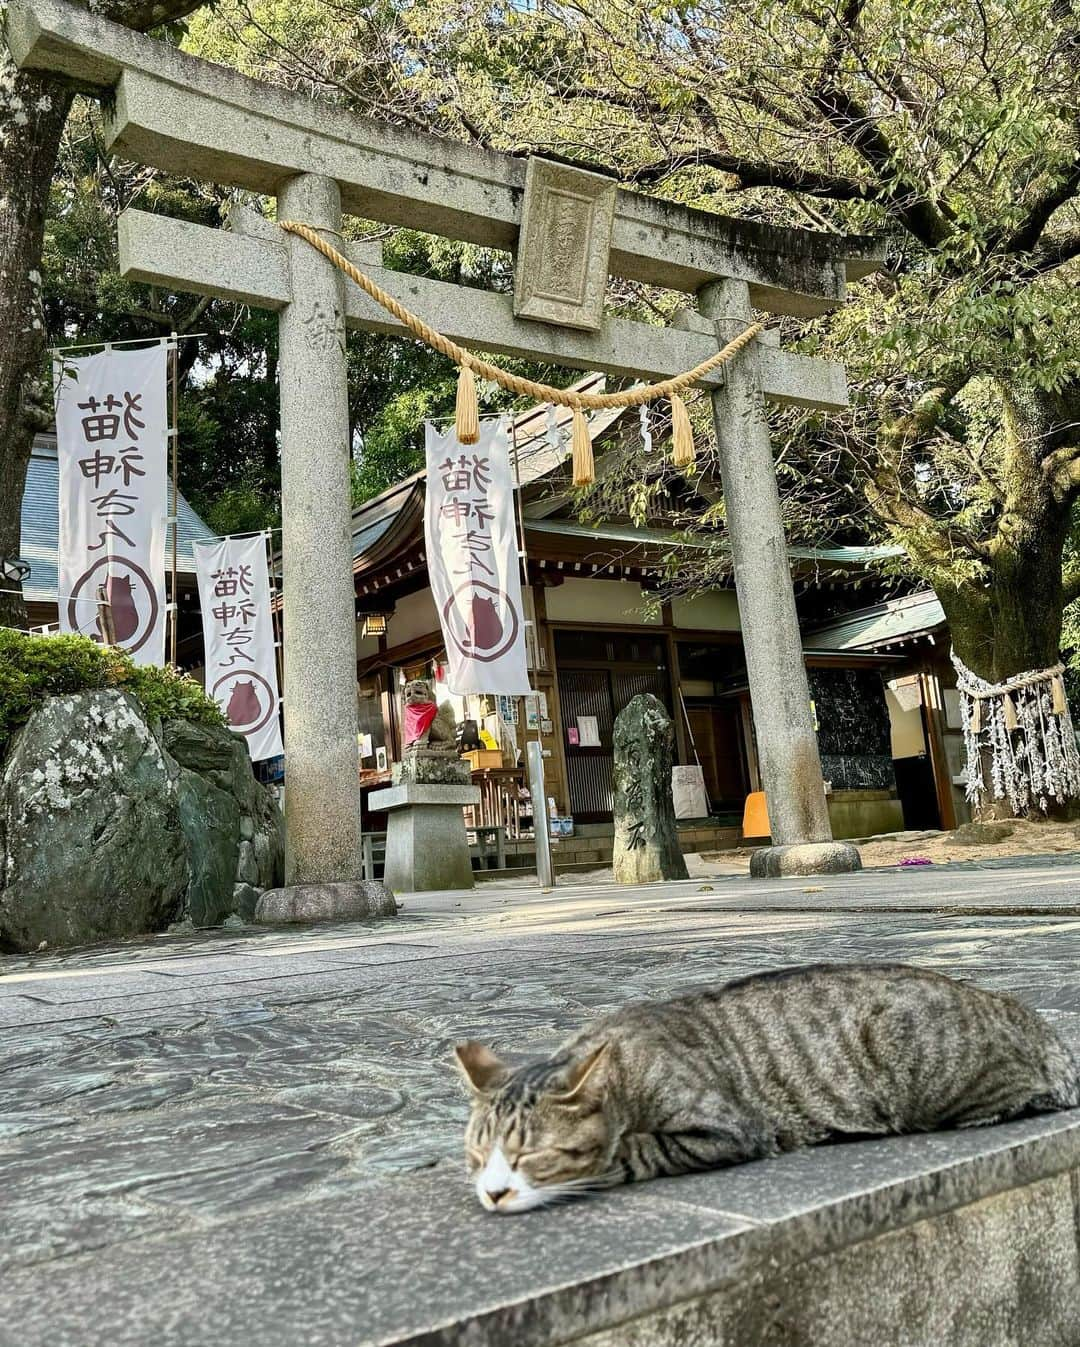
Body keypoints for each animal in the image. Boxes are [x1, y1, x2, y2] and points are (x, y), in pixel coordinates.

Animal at [449, 964, 1071, 1217]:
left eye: (532, 1157)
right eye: (477, 1156)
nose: (493, 1192)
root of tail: (1041, 1026)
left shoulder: (726, 1127)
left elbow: (639, 1148)